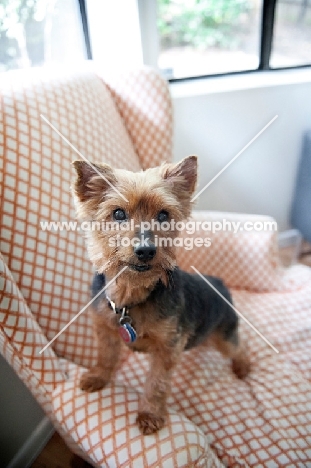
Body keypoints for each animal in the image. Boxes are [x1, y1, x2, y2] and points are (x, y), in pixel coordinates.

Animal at [72, 155, 250, 434]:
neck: (131, 294)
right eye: (118, 213)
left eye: (164, 215)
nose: (146, 250)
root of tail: (219, 283)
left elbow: (157, 383)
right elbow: (106, 355)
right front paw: (98, 376)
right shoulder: (105, 329)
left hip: (224, 333)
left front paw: (150, 414)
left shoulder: (168, 347)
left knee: (238, 347)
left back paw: (242, 367)